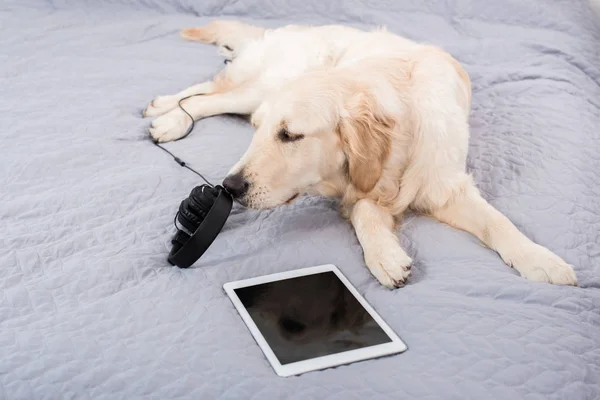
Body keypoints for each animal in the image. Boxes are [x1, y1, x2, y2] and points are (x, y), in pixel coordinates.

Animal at [144, 21, 576, 288]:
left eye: (289, 135)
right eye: (258, 132)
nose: (229, 186)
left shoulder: (446, 184)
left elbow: (498, 224)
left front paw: (541, 260)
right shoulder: (358, 190)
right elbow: (367, 209)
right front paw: (385, 254)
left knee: (210, 92)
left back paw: (164, 113)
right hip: (260, 87)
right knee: (208, 94)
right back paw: (169, 117)